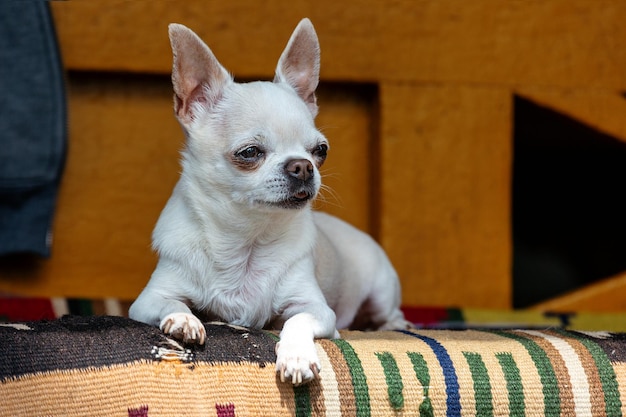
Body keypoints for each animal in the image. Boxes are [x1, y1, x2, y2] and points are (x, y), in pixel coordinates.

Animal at [129, 18, 408, 384]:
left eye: (320, 151)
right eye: (250, 152)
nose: (302, 166)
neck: (247, 238)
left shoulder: (317, 309)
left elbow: (296, 320)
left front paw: (296, 355)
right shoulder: (147, 300)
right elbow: (173, 303)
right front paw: (184, 319)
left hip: (380, 289)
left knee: (388, 311)